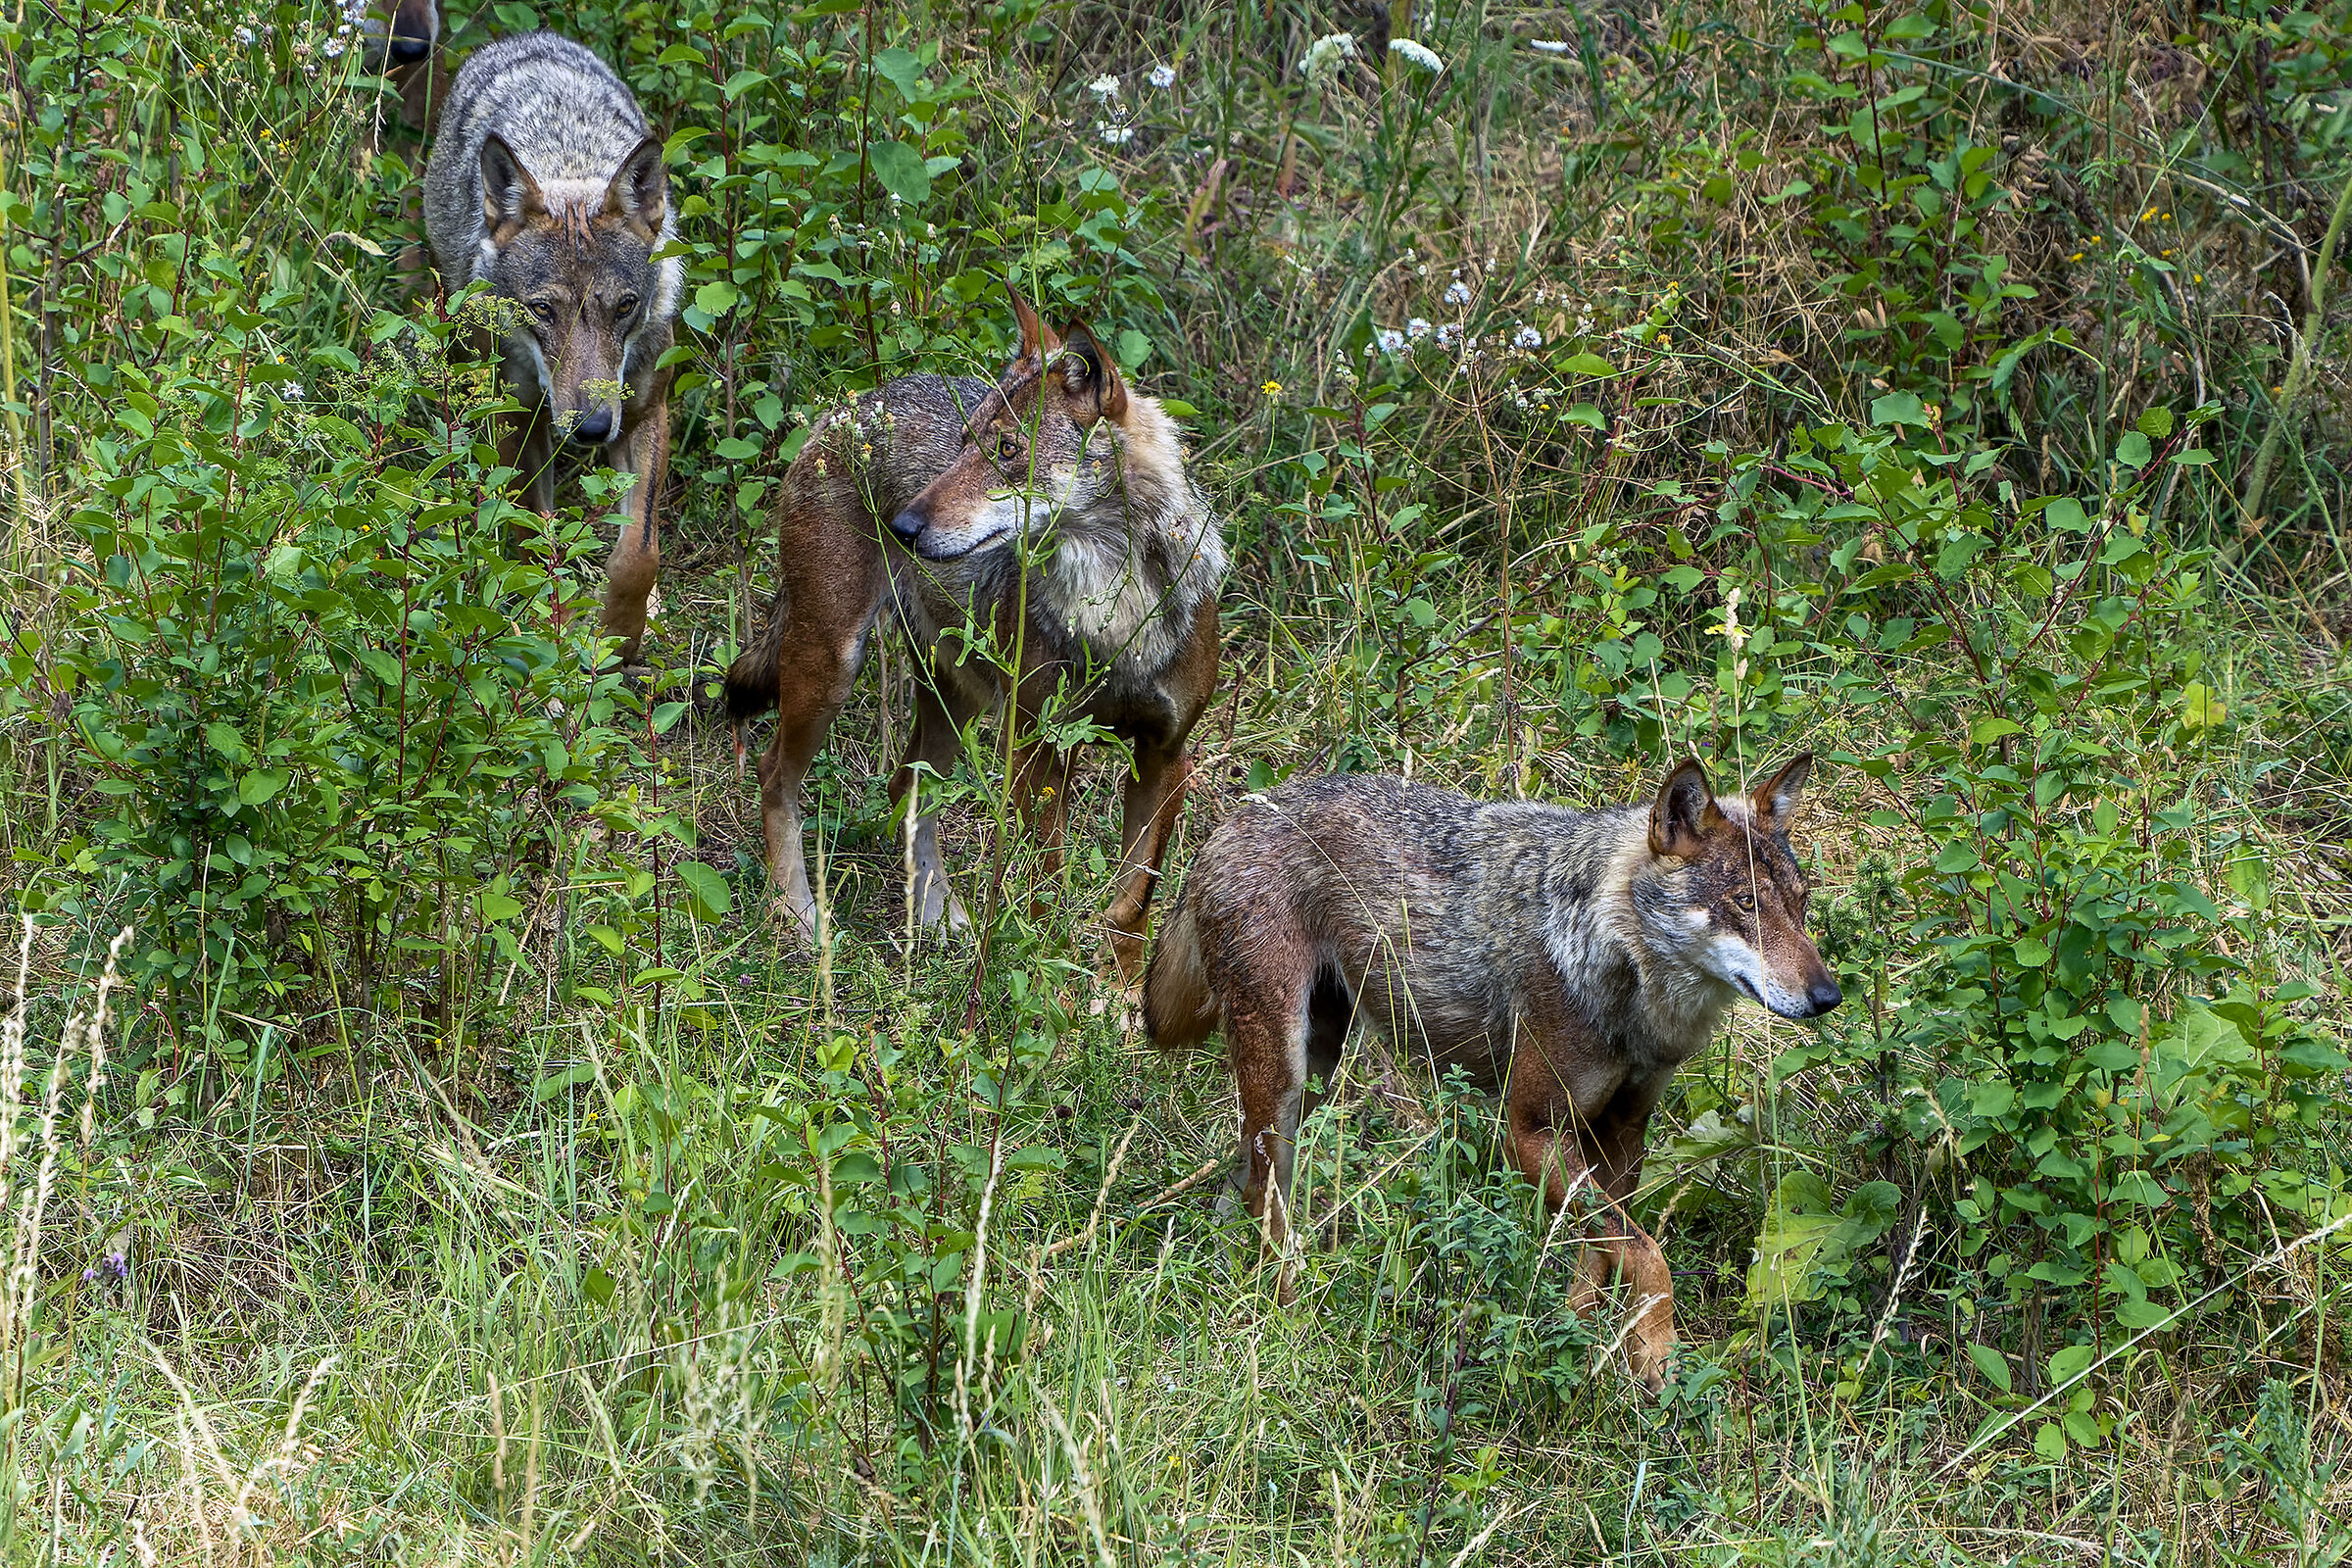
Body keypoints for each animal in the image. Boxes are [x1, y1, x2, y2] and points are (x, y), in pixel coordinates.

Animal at [422, 33, 682, 662]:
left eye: (624, 306)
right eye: (542, 311)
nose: (590, 429)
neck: (569, 162)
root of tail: (525, 39)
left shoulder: (644, 413)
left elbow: (638, 554)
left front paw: (620, 636)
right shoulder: (517, 419)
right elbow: (534, 542)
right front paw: (551, 642)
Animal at [722, 291, 1225, 982]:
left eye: (1009, 450)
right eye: (963, 444)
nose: (902, 526)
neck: (1116, 609)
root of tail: (852, 404)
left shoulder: (1166, 756)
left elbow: (1131, 904)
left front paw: (1120, 999)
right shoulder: (1040, 751)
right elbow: (1048, 888)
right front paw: (1048, 984)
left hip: (953, 699)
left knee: (905, 787)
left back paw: (937, 920)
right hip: (833, 668)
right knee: (776, 774)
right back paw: (800, 920)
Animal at [1143, 755, 1842, 1387]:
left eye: (1802, 905)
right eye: (1744, 905)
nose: (1829, 996)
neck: (1618, 965)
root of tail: (1236, 816)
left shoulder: (1621, 1136)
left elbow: (1600, 1257)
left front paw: (1580, 1343)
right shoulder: (1528, 1130)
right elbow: (1648, 1254)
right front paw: (1659, 1354)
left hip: (1312, 1073)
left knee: (1240, 1183)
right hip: (1286, 1078)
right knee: (1266, 1197)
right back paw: (1288, 1307)